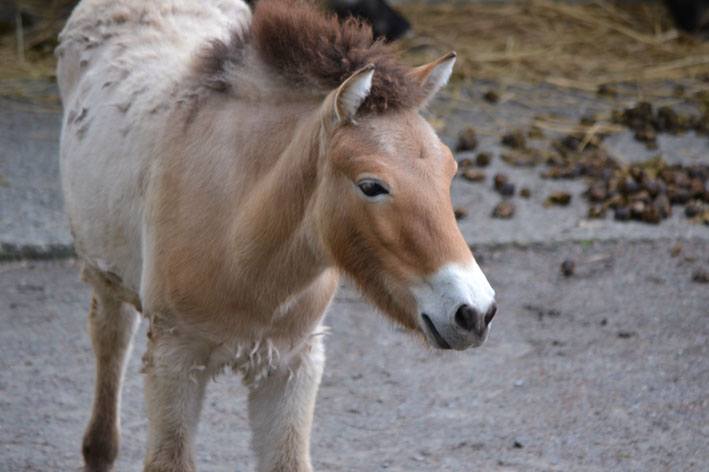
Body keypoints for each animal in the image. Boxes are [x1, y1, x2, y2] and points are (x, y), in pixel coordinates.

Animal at [55, 1, 496, 470]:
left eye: (450, 170)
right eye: (371, 186)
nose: (475, 313)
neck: (244, 251)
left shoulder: (294, 364)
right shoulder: (174, 361)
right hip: (104, 271)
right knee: (111, 337)